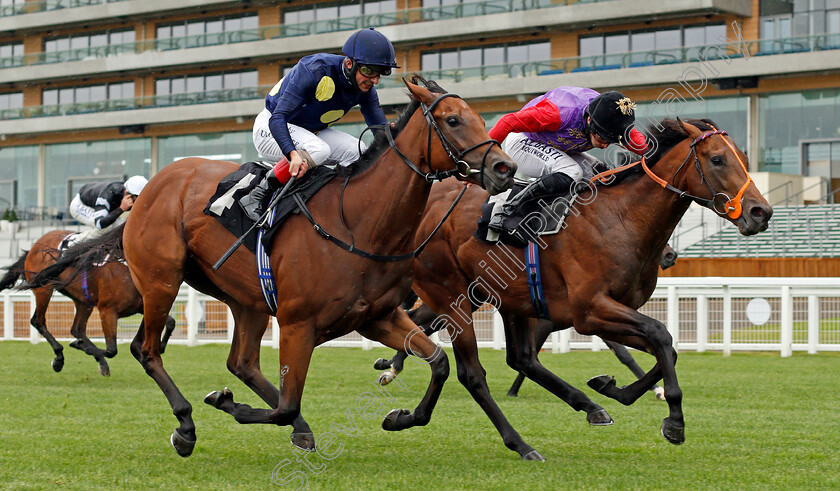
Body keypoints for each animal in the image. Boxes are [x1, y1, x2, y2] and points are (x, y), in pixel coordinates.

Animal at [0, 231, 174, 376]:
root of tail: (34, 246)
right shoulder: (107, 311)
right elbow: (112, 350)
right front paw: (80, 347)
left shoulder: (141, 307)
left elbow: (171, 321)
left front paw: (161, 346)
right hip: (44, 289)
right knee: (38, 320)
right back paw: (59, 357)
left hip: (83, 301)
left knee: (77, 329)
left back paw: (98, 361)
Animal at [29, 76, 516, 458]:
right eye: (452, 120)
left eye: (476, 115)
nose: (504, 166)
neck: (358, 222)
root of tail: (151, 187)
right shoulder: (299, 324)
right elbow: (284, 405)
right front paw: (226, 405)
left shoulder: (376, 316)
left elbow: (439, 363)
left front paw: (400, 417)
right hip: (161, 280)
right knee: (146, 350)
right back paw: (185, 426)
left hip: (245, 298)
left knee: (241, 362)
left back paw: (297, 429)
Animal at [408, 119, 776, 462]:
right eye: (717, 160)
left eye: (744, 158)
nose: (761, 212)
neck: (622, 218)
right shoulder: (589, 310)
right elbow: (660, 334)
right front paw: (674, 421)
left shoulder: (611, 311)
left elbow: (665, 348)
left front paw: (612, 388)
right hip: (451, 295)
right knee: (469, 371)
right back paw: (515, 441)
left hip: (509, 300)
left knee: (521, 358)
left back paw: (588, 406)